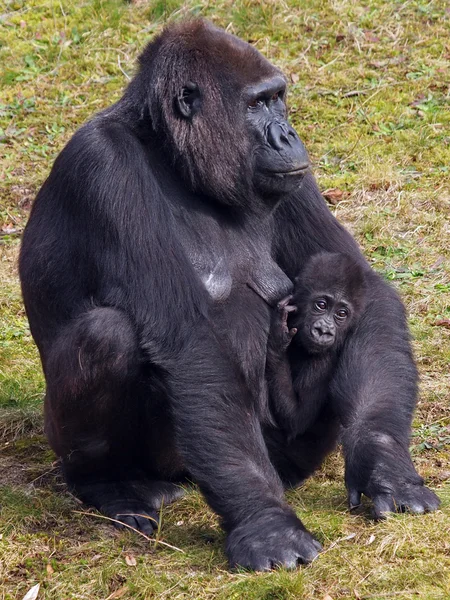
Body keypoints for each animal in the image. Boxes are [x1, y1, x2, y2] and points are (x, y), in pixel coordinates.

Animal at [266, 251, 368, 442]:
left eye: (341, 314)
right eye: (321, 305)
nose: (324, 330)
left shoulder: (324, 362)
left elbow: (296, 418)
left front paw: (278, 338)